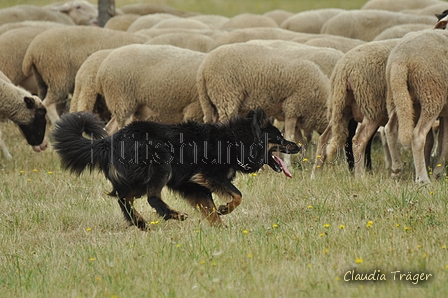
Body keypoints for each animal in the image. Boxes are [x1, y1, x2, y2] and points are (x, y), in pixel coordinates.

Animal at [50, 108, 300, 229]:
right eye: (279, 137)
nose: (298, 146)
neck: (237, 140)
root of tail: (109, 141)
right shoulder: (209, 175)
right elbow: (237, 196)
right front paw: (225, 209)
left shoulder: (195, 187)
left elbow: (210, 211)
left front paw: (221, 228)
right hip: (161, 162)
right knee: (151, 198)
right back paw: (173, 215)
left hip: (136, 179)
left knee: (123, 198)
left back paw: (140, 223)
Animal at [312, 38, 400, 178]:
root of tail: (344, 70)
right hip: (372, 109)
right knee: (359, 140)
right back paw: (360, 176)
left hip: (341, 109)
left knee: (324, 139)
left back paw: (315, 175)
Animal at [386, 30, 448, 184]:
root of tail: (400, 59)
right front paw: (437, 172)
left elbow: (444, 141)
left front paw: (438, 171)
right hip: (431, 95)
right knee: (418, 135)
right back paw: (422, 179)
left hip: (398, 97)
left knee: (389, 128)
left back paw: (396, 169)